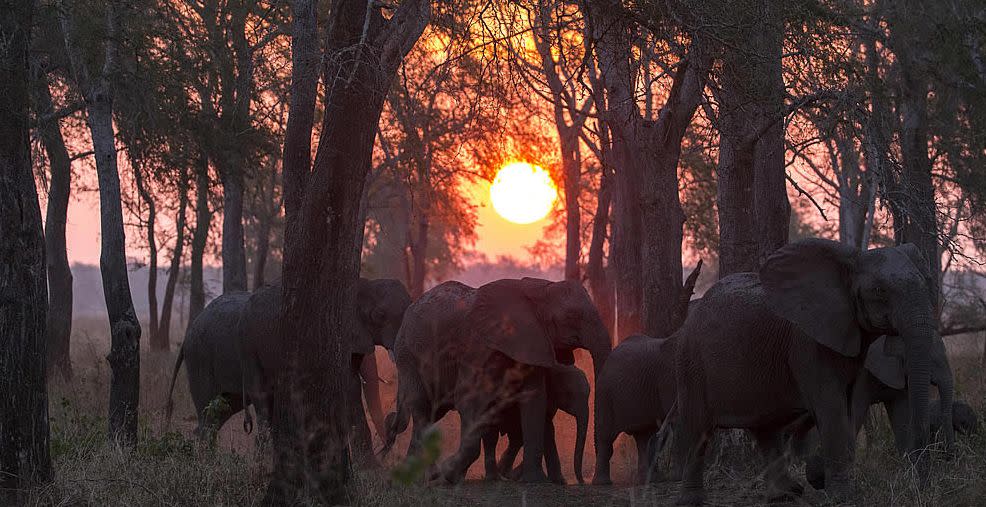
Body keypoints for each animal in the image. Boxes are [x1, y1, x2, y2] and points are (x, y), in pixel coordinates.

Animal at [164, 278, 408, 452]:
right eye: (379, 315)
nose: (392, 419)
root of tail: (186, 336)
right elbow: (348, 389)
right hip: (205, 358)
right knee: (218, 410)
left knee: (219, 413)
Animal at [382, 278, 608, 484]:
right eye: (572, 316)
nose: (588, 481)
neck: (537, 290)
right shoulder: (477, 347)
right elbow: (468, 399)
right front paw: (445, 475)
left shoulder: (533, 343)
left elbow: (534, 401)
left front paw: (535, 481)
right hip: (407, 355)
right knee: (421, 407)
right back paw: (423, 476)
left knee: (431, 413)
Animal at [592, 336, 676, 486]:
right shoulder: (668, 378)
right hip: (606, 394)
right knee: (606, 436)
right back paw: (602, 483)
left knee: (643, 437)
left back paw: (647, 480)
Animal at [672, 240, 936, 506]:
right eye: (879, 290)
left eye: (927, 283)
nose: (921, 487)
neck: (850, 261)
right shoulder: (807, 343)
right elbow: (831, 408)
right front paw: (841, 496)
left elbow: (849, 409)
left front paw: (820, 477)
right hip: (690, 362)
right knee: (698, 429)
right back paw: (692, 500)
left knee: (766, 430)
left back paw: (786, 493)